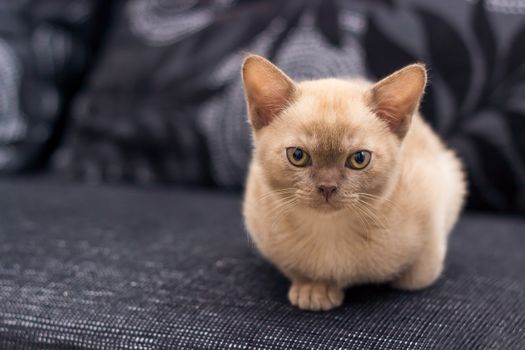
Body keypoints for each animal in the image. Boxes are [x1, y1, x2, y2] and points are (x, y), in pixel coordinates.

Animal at [239, 55, 464, 312]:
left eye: (359, 159)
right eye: (297, 156)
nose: (327, 186)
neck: (329, 233)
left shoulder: (434, 198)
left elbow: (418, 276)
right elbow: (296, 269)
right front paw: (314, 289)